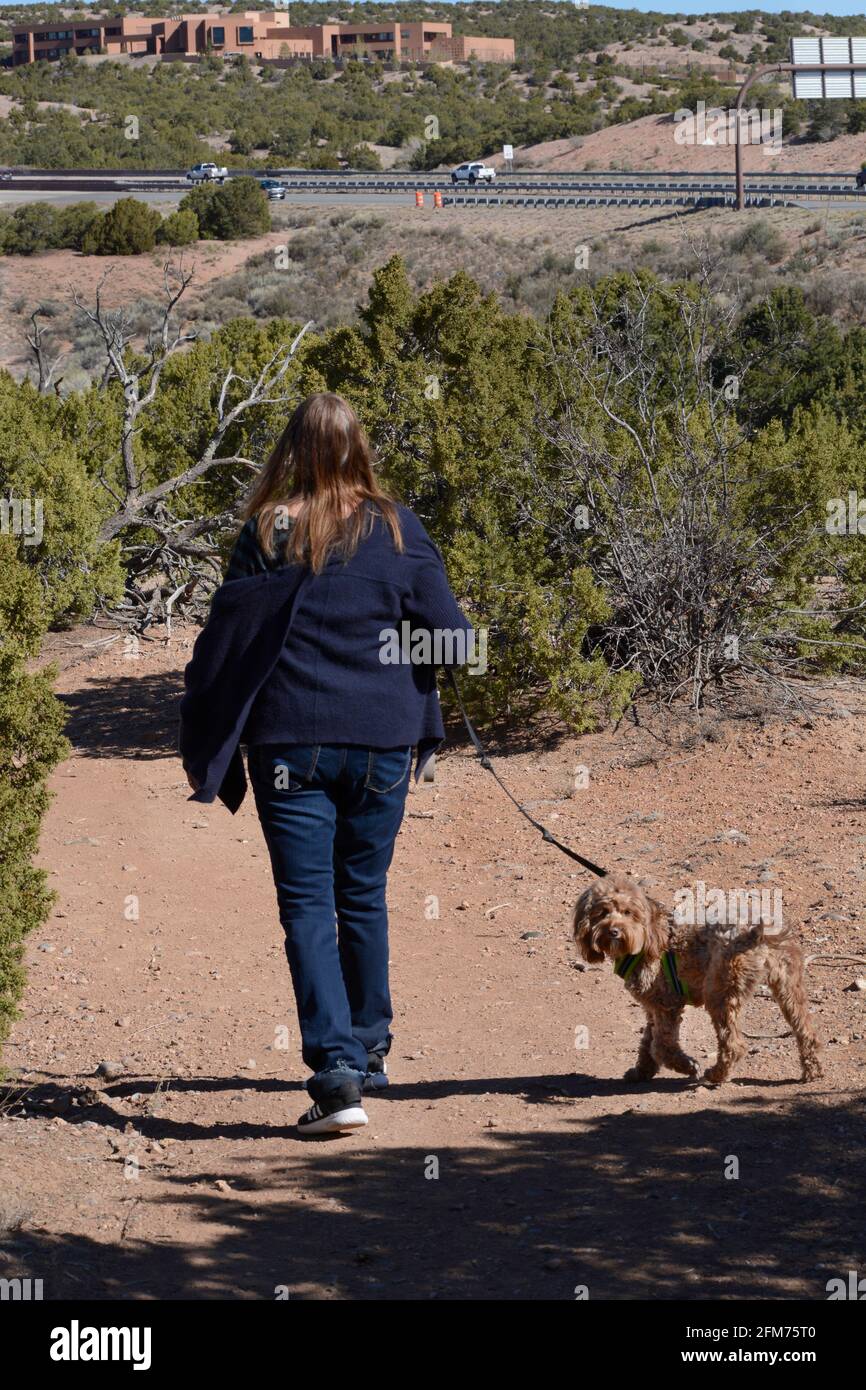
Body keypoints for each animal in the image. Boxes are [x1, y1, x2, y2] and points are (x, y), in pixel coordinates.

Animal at [572, 867, 822, 1084]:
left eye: (628, 913)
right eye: (602, 912)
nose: (614, 931)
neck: (649, 937)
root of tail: (758, 933)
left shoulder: (666, 1004)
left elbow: (660, 1045)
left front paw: (687, 1066)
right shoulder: (653, 1007)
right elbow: (647, 1042)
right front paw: (641, 1072)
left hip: (720, 991)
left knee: (734, 1044)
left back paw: (716, 1075)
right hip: (788, 986)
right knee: (806, 1032)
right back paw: (813, 1071)